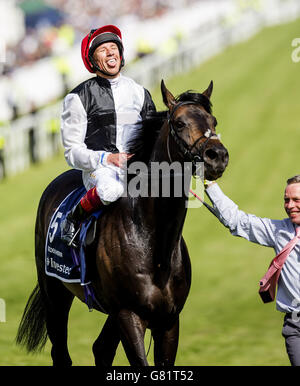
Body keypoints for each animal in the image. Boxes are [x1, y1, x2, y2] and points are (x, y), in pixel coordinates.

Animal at [16, 80, 227, 364]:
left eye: (213, 121)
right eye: (180, 123)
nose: (218, 155)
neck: (153, 242)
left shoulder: (169, 320)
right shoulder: (129, 314)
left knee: (101, 348)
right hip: (55, 293)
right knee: (61, 352)